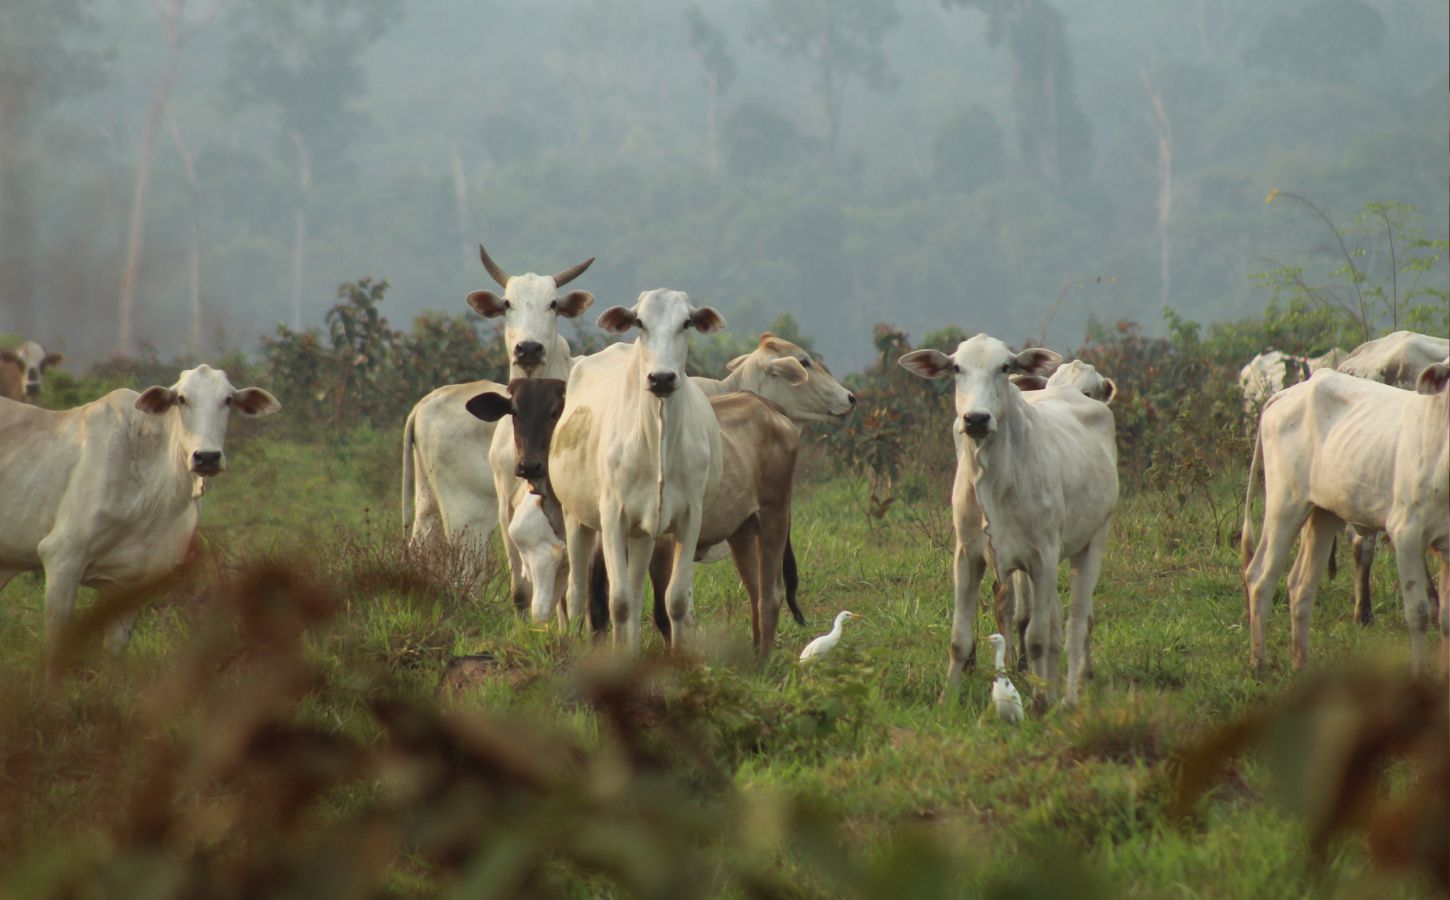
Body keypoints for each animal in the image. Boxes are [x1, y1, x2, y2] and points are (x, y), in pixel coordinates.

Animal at [548, 291, 725, 649]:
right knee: (577, 592)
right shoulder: (612, 516)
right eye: (640, 322)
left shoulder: (690, 517)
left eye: (686, 322)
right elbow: (618, 602)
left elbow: (675, 600)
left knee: (637, 590)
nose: (661, 378)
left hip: (642, 533)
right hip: (575, 517)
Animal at [893, 333, 1119, 704]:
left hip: (1093, 542)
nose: (976, 419)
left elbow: (1039, 638)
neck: (993, 478)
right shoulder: (967, 556)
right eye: (957, 368)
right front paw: (947, 700)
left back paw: (1070, 696)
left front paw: (1041, 702)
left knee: (1075, 624)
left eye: (1005, 367)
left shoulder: (1042, 557)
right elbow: (960, 638)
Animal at [1235, 363, 1450, 672]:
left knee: (1300, 584)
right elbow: (1418, 613)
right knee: (1260, 576)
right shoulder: (1405, 535)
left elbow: (1445, 620)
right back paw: (1259, 663)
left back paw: (1301, 664)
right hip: (1284, 504)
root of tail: (1288, 393)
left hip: (1323, 514)